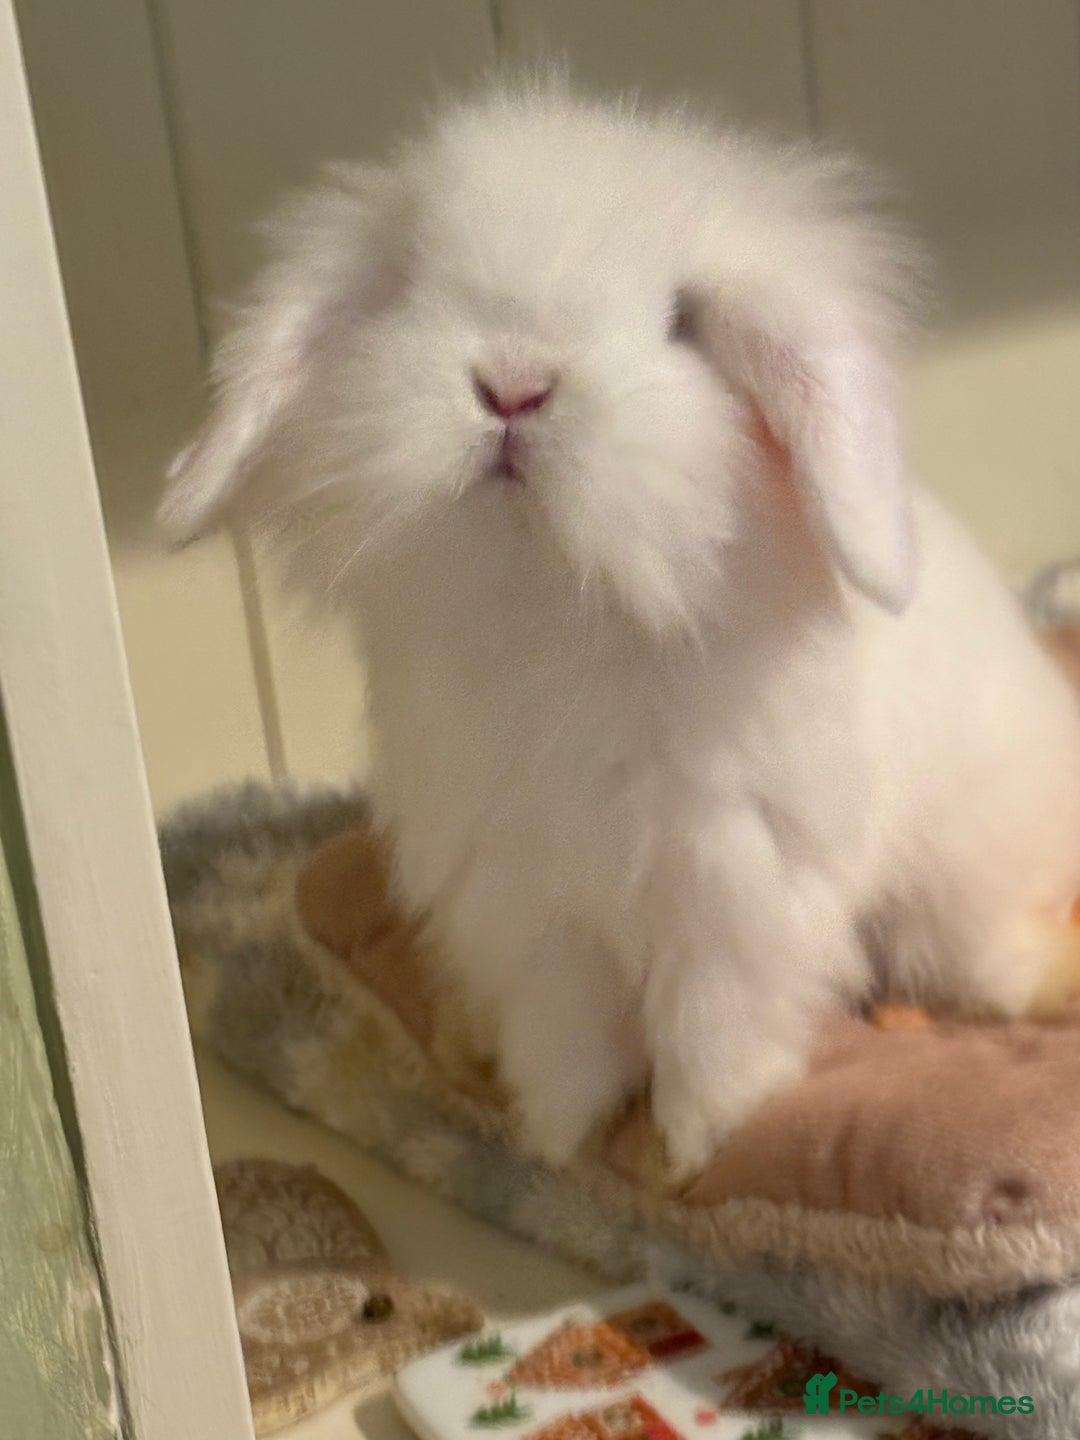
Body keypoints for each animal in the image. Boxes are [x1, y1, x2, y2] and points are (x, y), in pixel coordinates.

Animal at [161, 82, 1080, 1179]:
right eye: (414, 287)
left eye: (683, 322)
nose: (512, 384)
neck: (560, 596)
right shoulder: (528, 902)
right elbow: (567, 1033)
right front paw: (558, 1140)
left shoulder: (731, 887)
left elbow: (711, 1029)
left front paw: (688, 1151)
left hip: (957, 889)